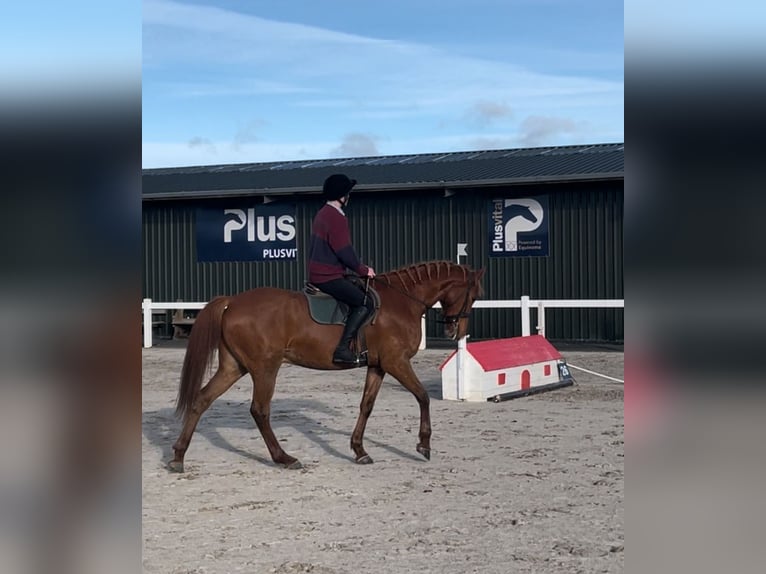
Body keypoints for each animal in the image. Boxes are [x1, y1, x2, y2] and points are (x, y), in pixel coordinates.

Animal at [169, 260, 485, 472]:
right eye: (473, 295)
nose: (456, 332)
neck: (402, 301)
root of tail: (233, 302)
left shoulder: (378, 366)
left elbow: (366, 406)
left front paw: (359, 450)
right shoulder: (397, 362)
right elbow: (422, 396)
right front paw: (424, 445)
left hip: (234, 367)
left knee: (202, 399)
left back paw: (178, 456)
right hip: (265, 368)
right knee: (259, 410)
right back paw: (284, 458)